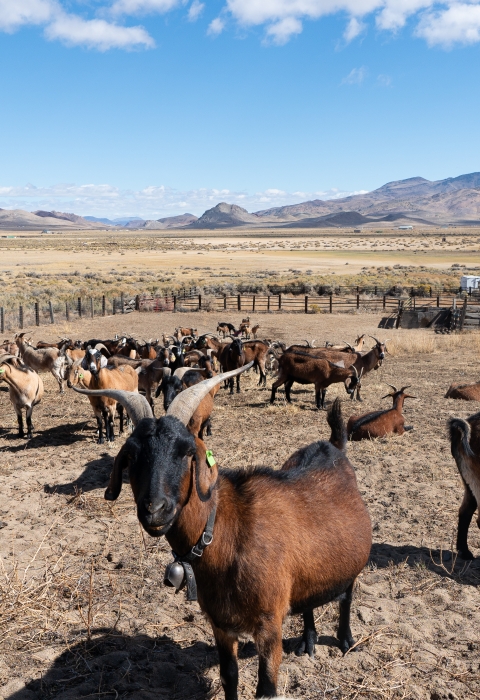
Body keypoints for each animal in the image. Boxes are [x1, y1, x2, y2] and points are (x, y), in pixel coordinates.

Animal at [75, 379, 371, 700]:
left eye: (187, 451)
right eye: (131, 454)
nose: (155, 509)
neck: (229, 533)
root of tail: (333, 446)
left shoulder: (269, 623)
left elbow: (266, 688)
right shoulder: (220, 623)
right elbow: (229, 676)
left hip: (351, 563)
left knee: (347, 595)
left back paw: (346, 641)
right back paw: (309, 641)